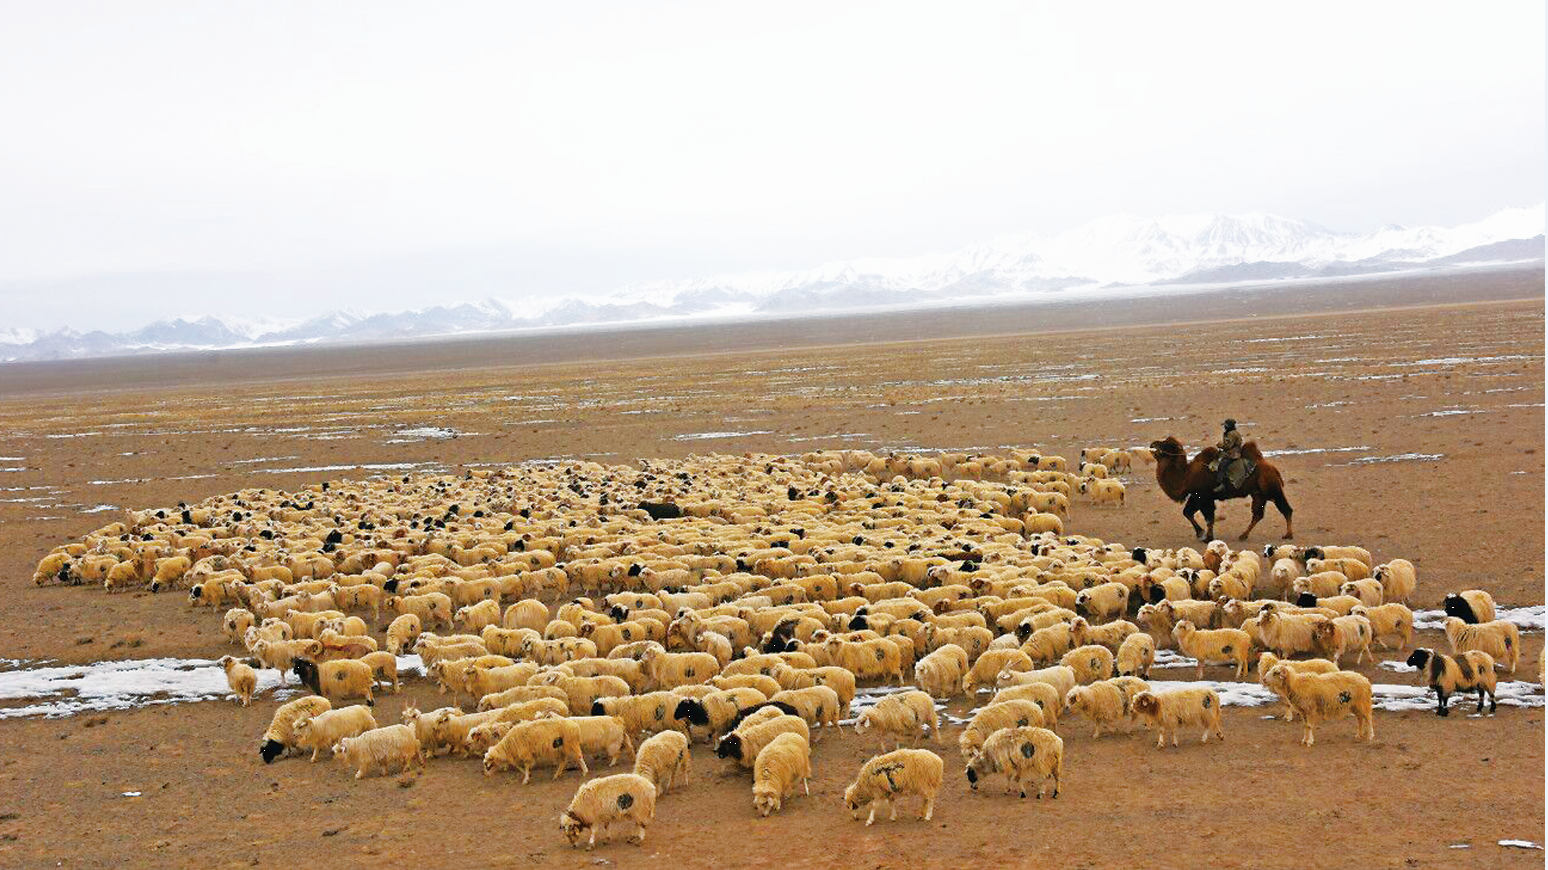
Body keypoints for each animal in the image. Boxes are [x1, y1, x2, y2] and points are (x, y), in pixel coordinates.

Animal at [1151, 436, 1294, 538]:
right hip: (1258, 493)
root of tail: (1273, 469)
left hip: (1272, 488)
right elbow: (1187, 512)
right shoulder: (1196, 496)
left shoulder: (1204, 497)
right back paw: (1243, 535)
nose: (1152, 444)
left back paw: (1288, 535)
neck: (1186, 476)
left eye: (1167, 445)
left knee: (1286, 509)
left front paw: (1208, 537)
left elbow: (1209, 518)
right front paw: (1200, 533)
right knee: (1258, 514)